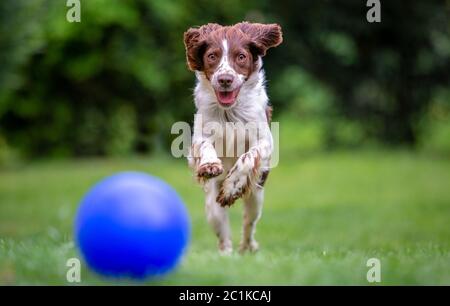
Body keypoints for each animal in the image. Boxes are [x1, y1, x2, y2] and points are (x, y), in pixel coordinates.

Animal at [182, 21, 282, 255]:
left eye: (241, 56)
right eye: (212, 56)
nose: (225, 79)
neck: (230, 112)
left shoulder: (264, 140)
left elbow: (248, 157)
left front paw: (231, 188)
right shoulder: (200, 134)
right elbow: (205, 146)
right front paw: (210, 165)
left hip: (256, 197)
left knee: (248, 224)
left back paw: (247, 247)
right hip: (212, 207)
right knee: (223, 235)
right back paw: (226, 256)